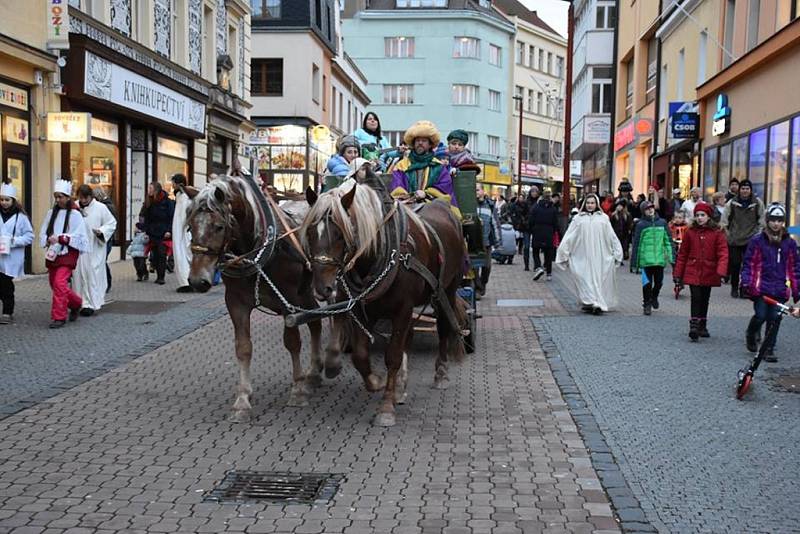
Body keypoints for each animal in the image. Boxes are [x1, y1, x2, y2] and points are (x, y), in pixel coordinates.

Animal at [183, 177, 324, 422]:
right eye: (190, 226)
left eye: (219, 226)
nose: (197, 281)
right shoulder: (236, 302)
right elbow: (243, 347)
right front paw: (242, 400)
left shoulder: (287, 299)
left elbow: (293, 342)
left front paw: (297, 390)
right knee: (315, 321)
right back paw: (314, 372)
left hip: (304, 293)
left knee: (317, 322)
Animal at [300, 183, 466, 428]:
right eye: (310, 233)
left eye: (340, 234)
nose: (323, 288)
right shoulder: (361, 308)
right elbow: (360, 355)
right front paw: (376, 382)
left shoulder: (402, 309)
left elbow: (393, 356)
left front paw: (386, 407)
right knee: (409, 336)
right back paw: (400, 386)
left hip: (447, 290)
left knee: (444, 327)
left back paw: (441, 374)